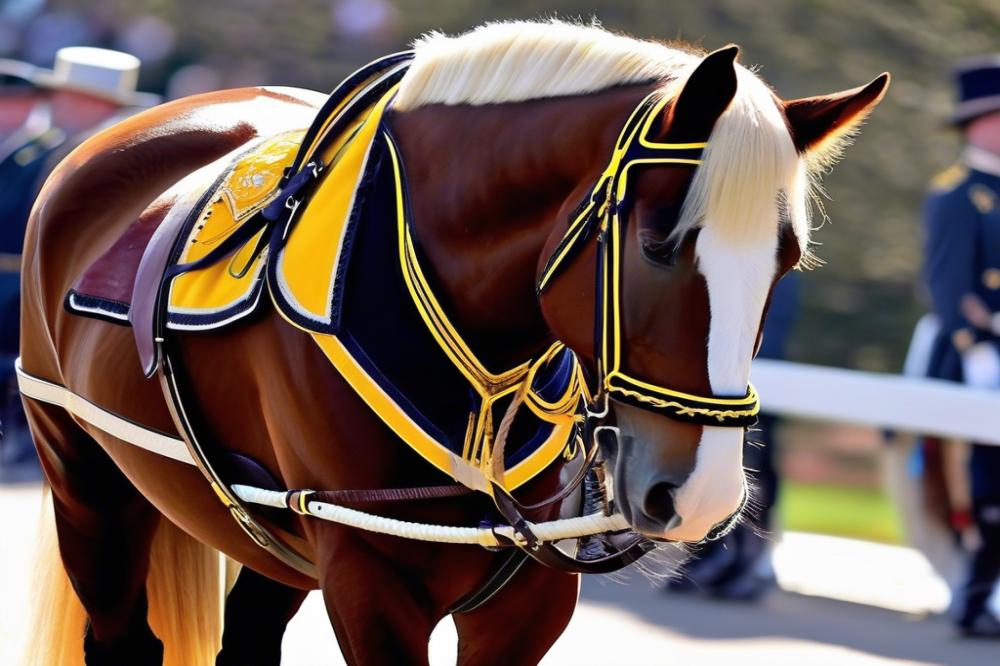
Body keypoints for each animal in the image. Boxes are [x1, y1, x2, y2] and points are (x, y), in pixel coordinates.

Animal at [19, 20, 888, 664]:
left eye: (788, 258)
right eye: (657, 244)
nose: (703, 493)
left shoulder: (525, 599)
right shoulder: (369, 580)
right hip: (87, 482)